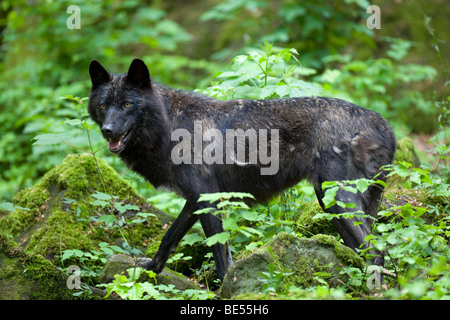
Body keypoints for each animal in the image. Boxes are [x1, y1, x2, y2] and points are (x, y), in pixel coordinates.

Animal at [87, 58, 394, 282]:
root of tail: (384, 125)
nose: (108, 130)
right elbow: (169, 238)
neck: (169, 126)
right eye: (103, 105)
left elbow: (219, 254)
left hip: (336, 200)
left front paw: (225, 289)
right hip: (336, 205)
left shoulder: (207, 201)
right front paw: (150, 268)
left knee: (377, 252)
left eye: (127, 104)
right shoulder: (198, 201)